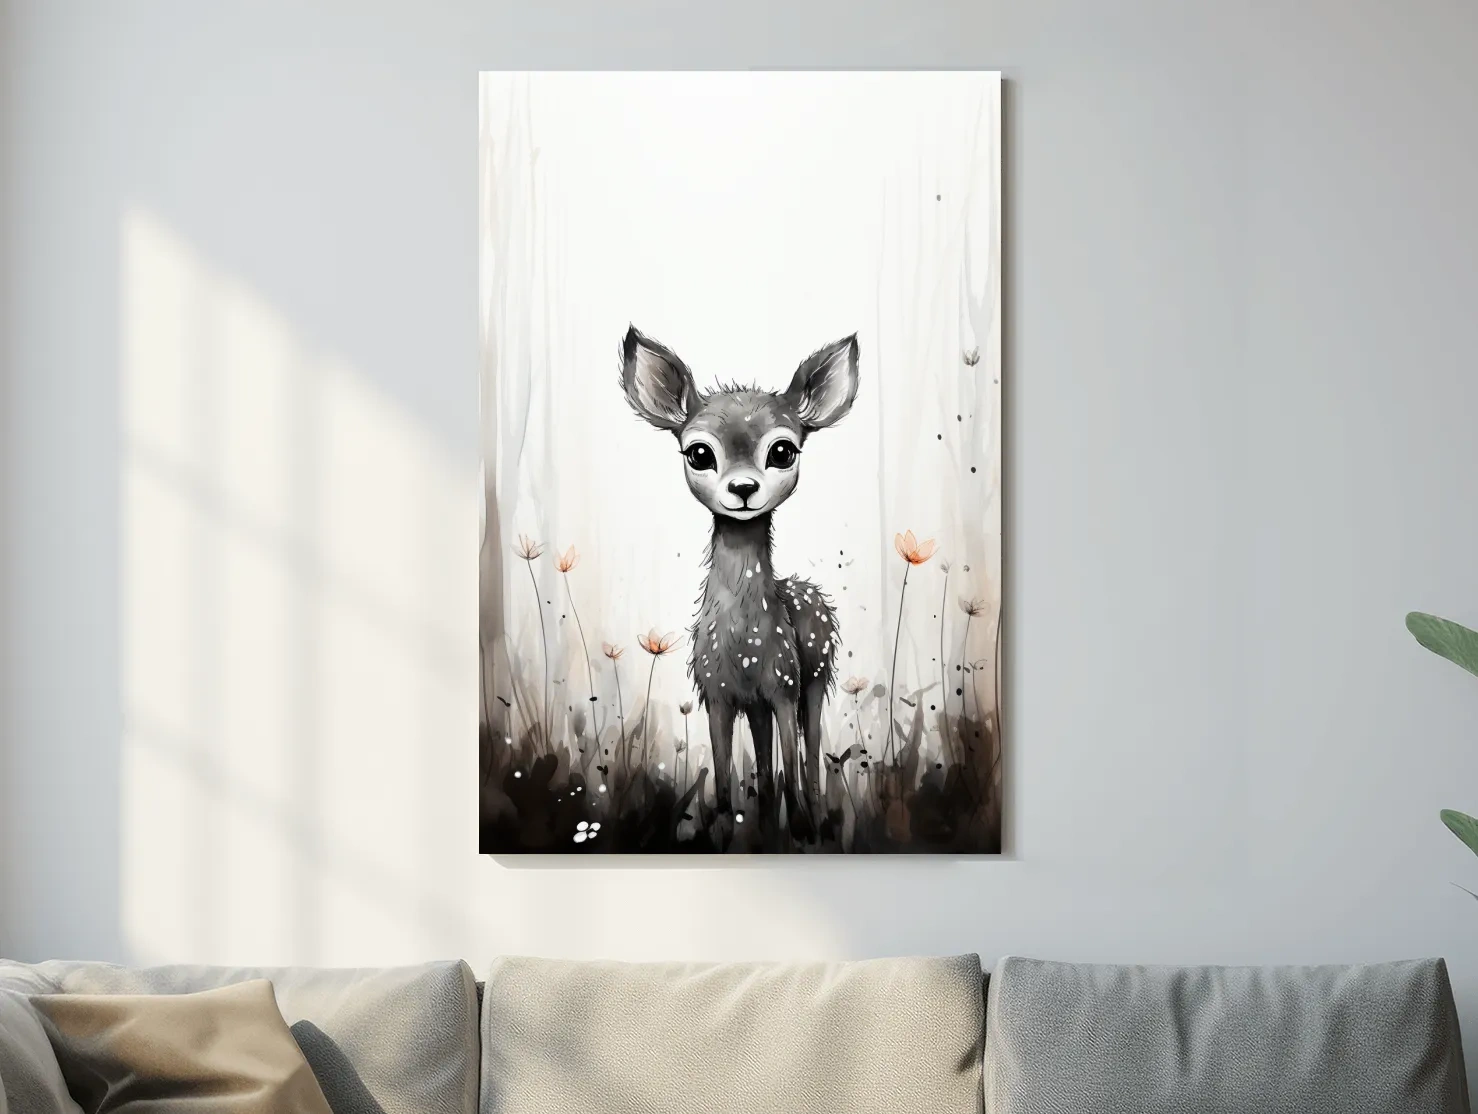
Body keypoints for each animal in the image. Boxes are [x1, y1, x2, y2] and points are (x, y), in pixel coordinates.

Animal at [619, 325, 859, 838]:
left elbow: (792, 761)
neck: (745, 642)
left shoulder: (784, 685)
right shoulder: (717, 694)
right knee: (765, 766)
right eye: (699, 452)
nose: (744, 488)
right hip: (759, 703)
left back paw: (811, 819)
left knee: (809, 753)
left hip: (815, 676)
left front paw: (801, 828)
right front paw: (726, 830)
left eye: (783, 450)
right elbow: (727, 780)